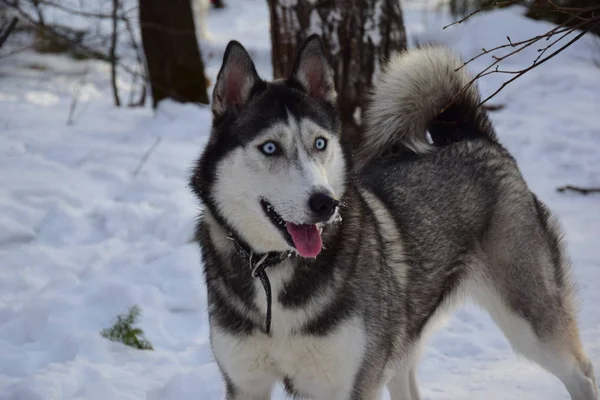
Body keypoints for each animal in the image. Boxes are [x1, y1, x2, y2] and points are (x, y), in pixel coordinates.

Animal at [190, 35, 596, 400]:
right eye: (270, 147)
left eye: (320, 143)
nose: (325, 203)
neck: (275, 272)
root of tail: (473, 137)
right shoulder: (246, 384)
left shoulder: (351, 385)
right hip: (400, 345)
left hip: (530, 320)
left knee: (582, 372)